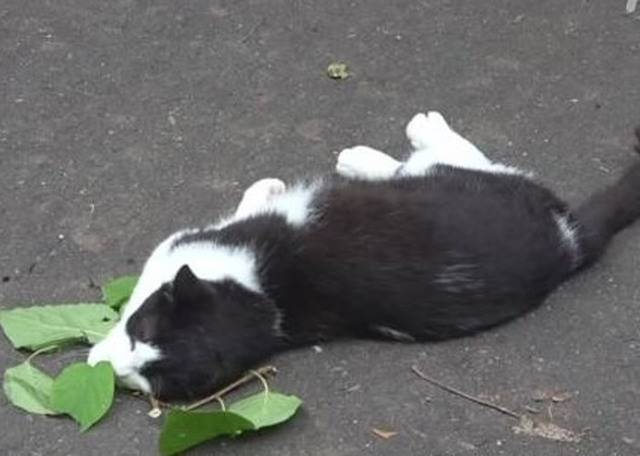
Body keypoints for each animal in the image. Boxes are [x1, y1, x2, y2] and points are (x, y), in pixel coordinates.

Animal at [87, 112, 640, 400]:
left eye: (141, 332)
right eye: (146, 374)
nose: (111, 371)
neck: (265, 302)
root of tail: (568, 240)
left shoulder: (184, 244)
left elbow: (246, 203)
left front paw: (264, 188)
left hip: (466, 179)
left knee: (455, 156)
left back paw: (396, 141)